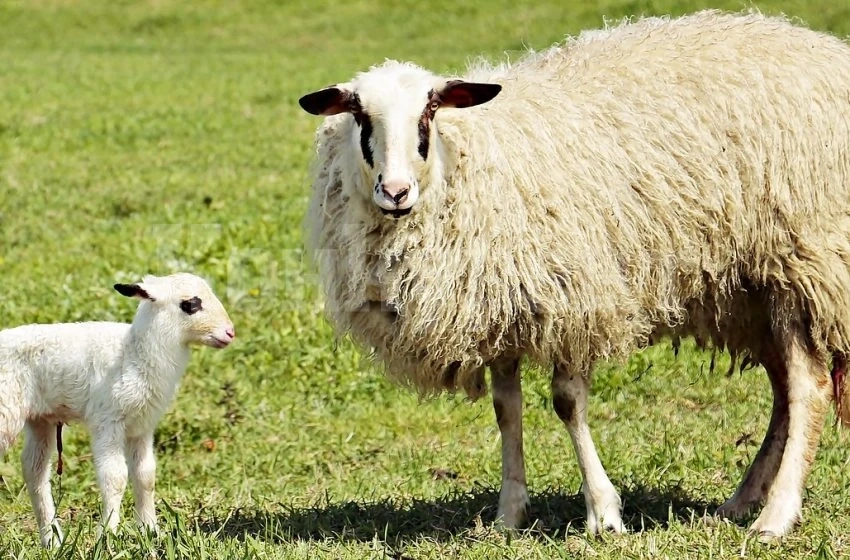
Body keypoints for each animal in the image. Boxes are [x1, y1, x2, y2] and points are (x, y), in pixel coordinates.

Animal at [0, 272, 235, 548]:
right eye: (190, 304)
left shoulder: (141, 425)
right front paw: (108, 535)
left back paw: (51, 539)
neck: (134, 353)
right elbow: (115, 477)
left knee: (34, 470)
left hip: (41, 419)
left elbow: (146, 475)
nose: (230, 332)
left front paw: (150, 530)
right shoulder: (108, 420)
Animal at [299, 9, 850, 540]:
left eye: (430, 111)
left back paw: (775, 517)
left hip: (804, 262)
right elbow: (506, 407)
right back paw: (740, 502)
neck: (470, 157)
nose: (395, 191)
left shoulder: (573, 297)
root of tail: (828, 51)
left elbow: (566, 404)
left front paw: (603, 514)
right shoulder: (503, 306)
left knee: (809, 388)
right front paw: (510, 515)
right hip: (750, 291)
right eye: (358, 114)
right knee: (784, 391)